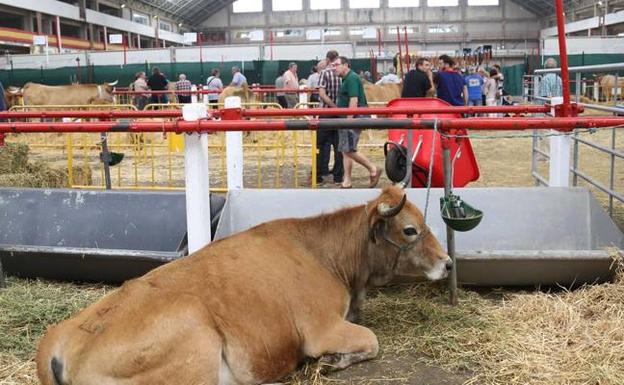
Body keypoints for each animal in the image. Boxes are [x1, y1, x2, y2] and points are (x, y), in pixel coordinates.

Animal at [36, 184, 450, 382]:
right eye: (410, 230)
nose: (447, 263)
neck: (324, 254)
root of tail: (60, 342)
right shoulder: (321, 328)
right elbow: (371, 341)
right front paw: (332, 361)